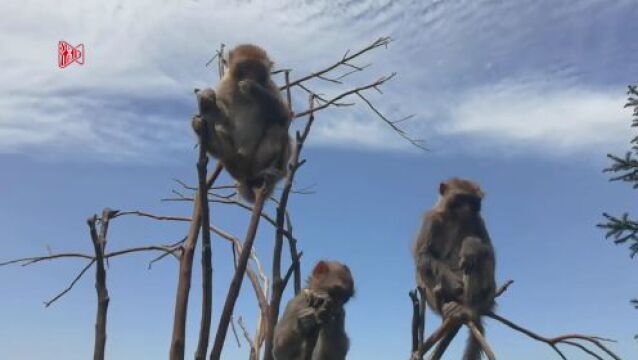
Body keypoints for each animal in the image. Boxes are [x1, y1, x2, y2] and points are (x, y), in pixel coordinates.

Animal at [192, 43, 292, 201]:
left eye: (256, 69)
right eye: (245, 67)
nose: (250, 76)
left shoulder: (270, 86)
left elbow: (285, 116)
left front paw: (253, 88)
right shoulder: (225, 84)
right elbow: (222, 117)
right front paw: (207, 104)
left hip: (255, 163)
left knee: (278, 127)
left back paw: (268, 174)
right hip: (236, 163)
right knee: (226, 151)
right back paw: (203, 130)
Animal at [416, 178, 500, 360]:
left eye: (473, 201)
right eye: (461, 198)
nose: (467, 210)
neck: (456, 218)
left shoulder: (478, 220)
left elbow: (488, 250)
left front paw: (470, 246)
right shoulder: (431, 220)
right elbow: (424, 256)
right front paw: (452, 280)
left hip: (487, 294)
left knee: (481, 260)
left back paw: (470, 308)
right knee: (423, 270)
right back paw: (446, 305)